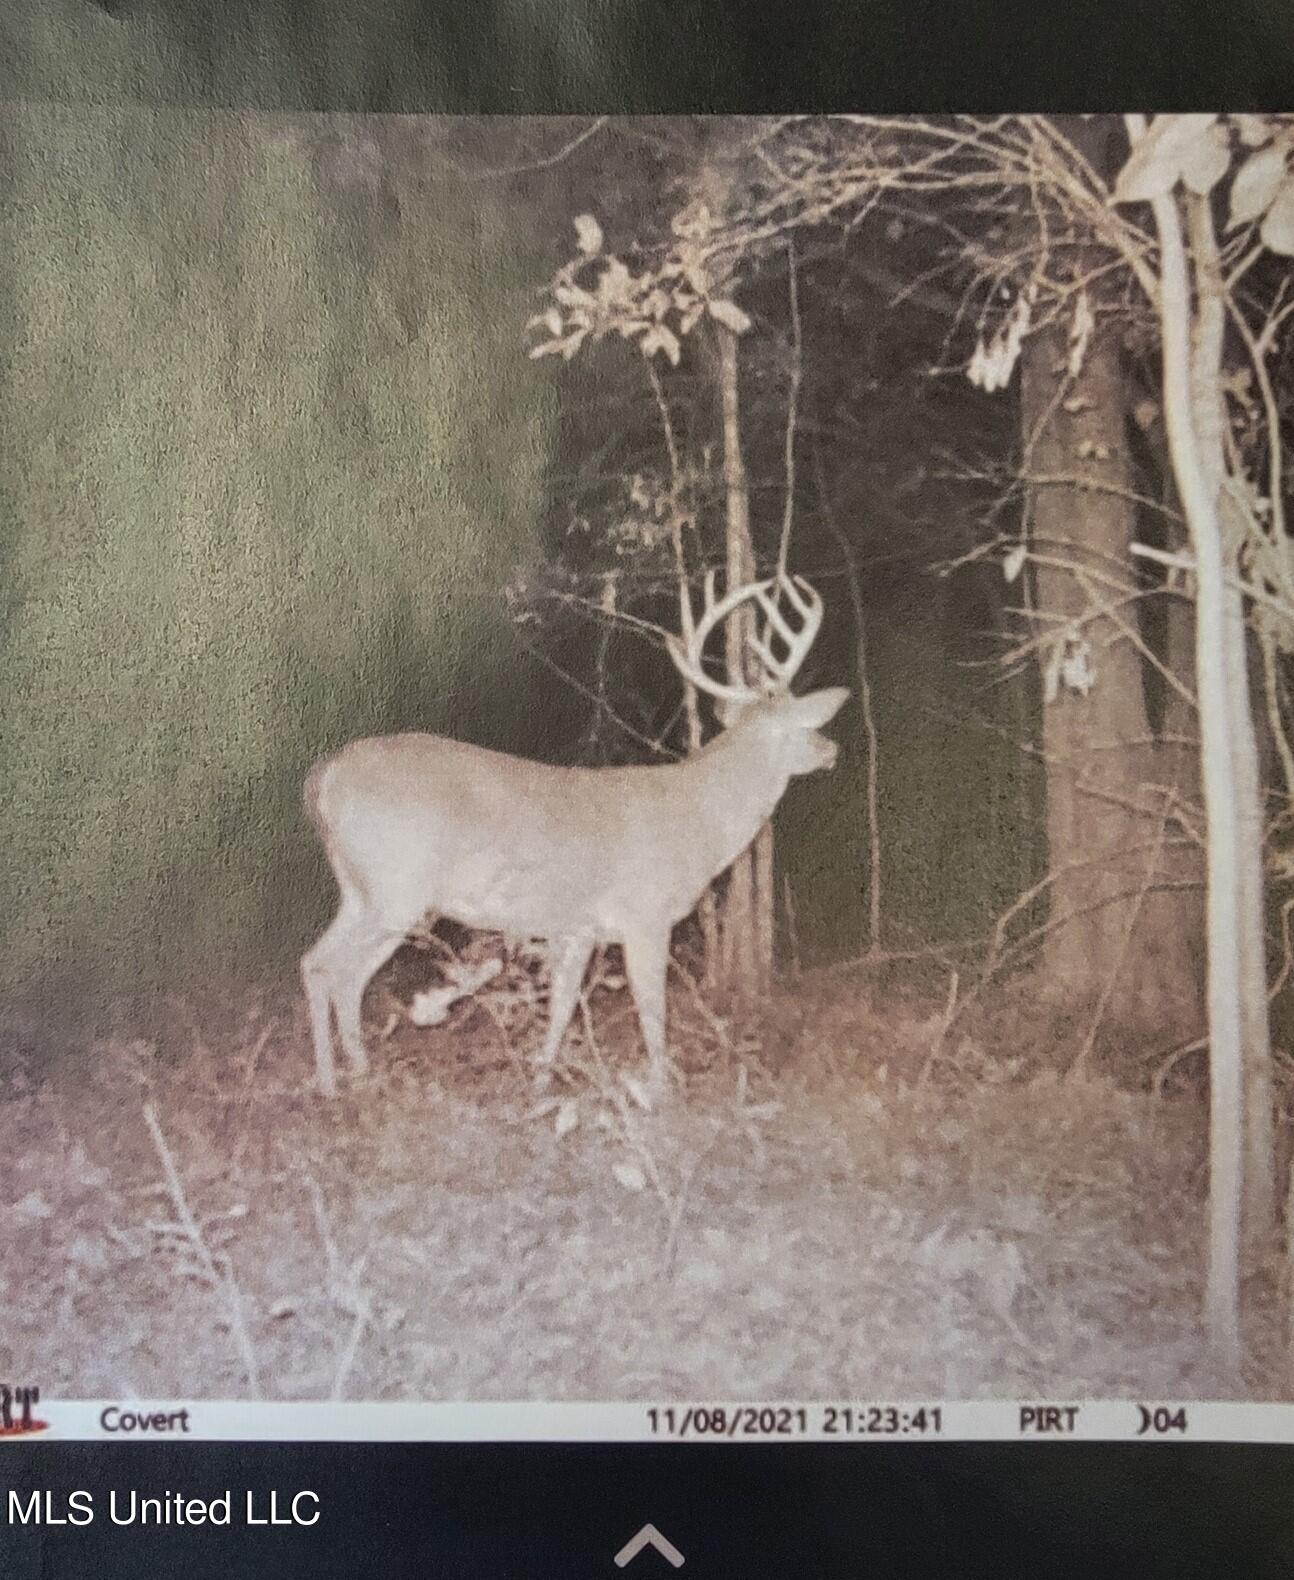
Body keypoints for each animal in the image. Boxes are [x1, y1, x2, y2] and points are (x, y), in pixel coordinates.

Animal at [300, 571, 849, 1099]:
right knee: (331, 967)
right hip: (395, 888)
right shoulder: (644, 914)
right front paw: (661, 1092)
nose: (833, 749)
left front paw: (541, 1083)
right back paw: (337, 1083)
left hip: (364, 892)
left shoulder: (577, 927)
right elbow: (653, 1010)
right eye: (804, 724)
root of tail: (325, 774)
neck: (697, 818)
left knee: (324, 966)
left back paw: (354, 1075)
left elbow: (562, 1007)